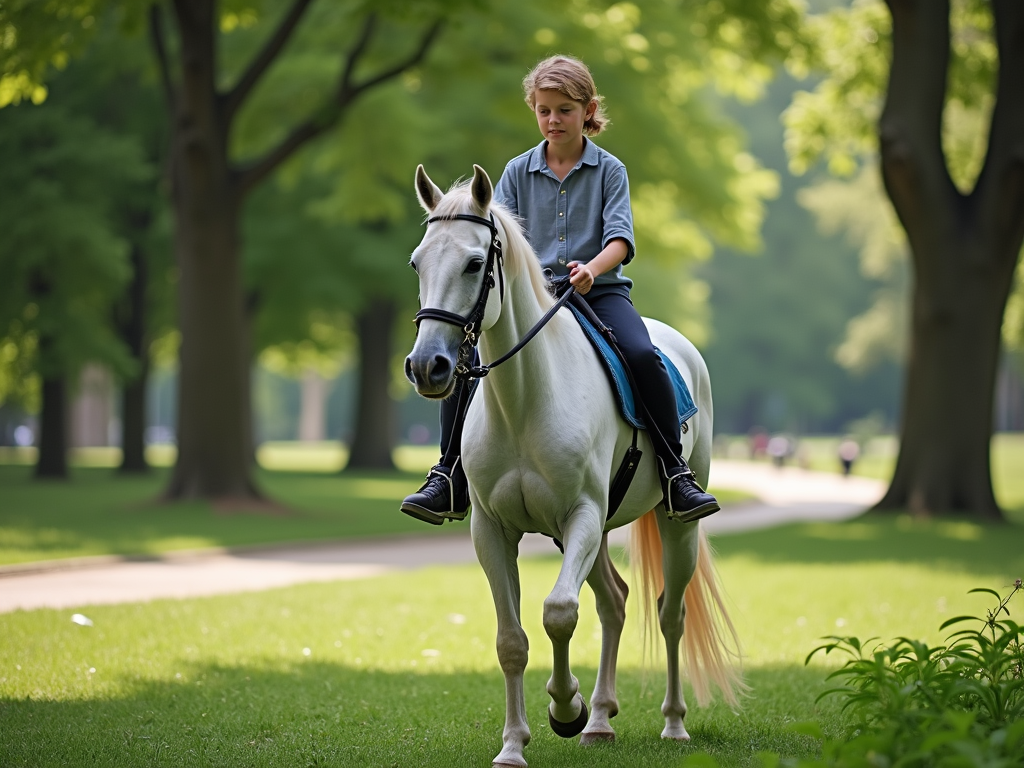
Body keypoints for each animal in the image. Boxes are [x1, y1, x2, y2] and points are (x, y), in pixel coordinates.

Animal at [401, 165, 745, 765]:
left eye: (474, 263)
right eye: (418, 262)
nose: (428, 367)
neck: (524, 400)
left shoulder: (581, 514)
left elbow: (558, 612)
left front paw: (565, 708)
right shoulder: (492, 529)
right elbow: (512, 639)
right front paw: (515, 744)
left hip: (672, 524)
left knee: (669, 613)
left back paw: (671, 724)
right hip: (594, 533)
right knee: (615, 603)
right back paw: (601, 720)